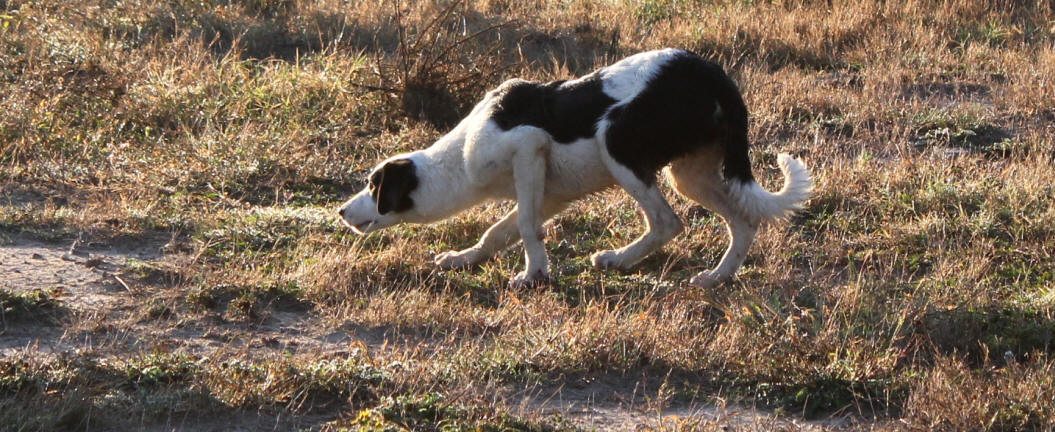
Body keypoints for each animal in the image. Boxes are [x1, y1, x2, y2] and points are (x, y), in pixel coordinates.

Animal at [337, 48, 806, 285]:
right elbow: (499, 231)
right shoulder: (550, 194)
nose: (340, 211)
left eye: (374, 186)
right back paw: (716, 277)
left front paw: (533, 275)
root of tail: (715, 75)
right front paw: (464, 259)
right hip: (691, 175)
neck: (459, 160)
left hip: (618, 145)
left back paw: (617, 260)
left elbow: (526, 228)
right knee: (744, 221)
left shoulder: (528, 146)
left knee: (668, 222)